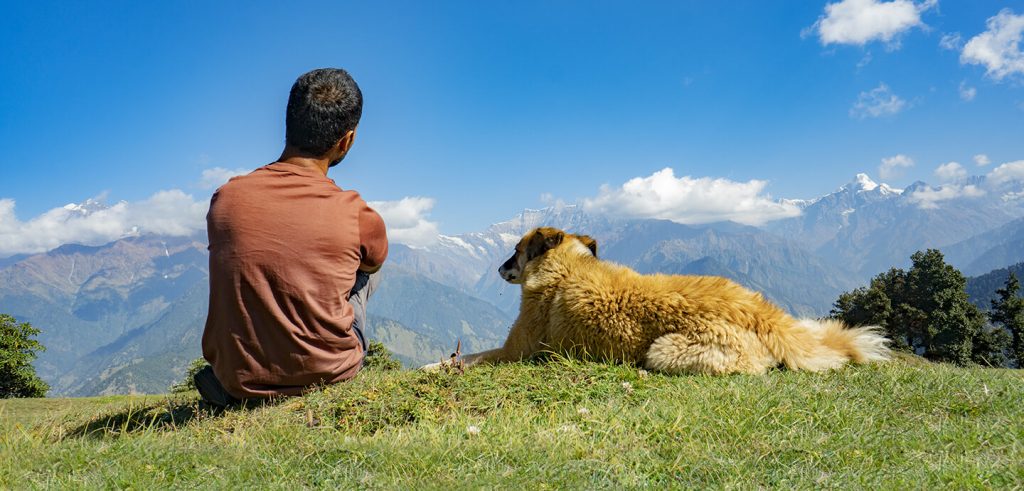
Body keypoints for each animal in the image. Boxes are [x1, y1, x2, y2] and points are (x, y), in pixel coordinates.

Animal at [423, 227, 888, 377]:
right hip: (807, 321)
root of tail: (760, 315)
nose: (499, 268)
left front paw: (432, 365)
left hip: (664, 350)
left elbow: (466, 358)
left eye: (516, 251)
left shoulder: (514, 351)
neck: (567, 267)